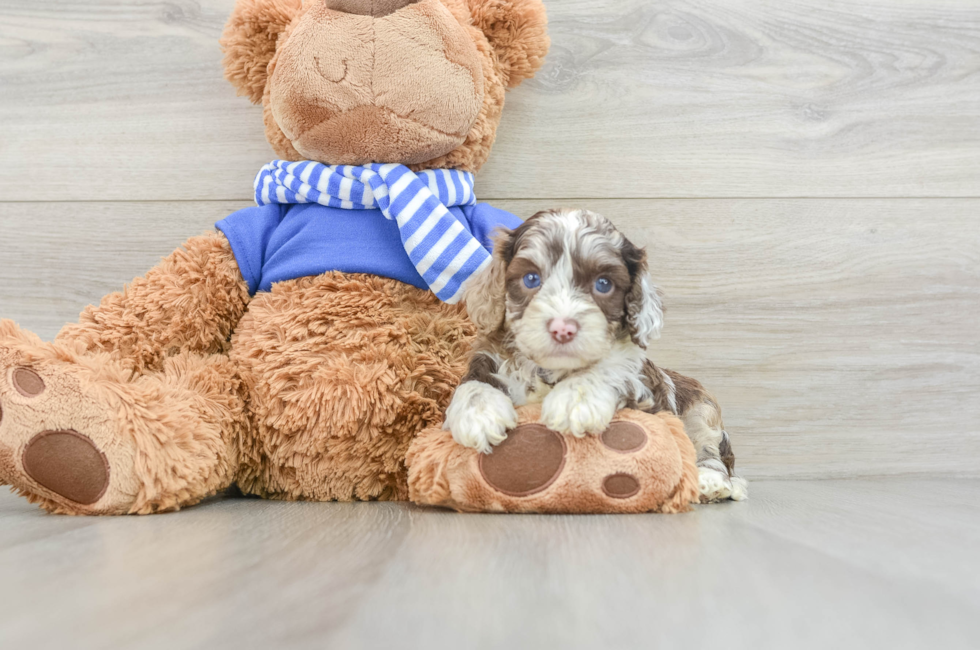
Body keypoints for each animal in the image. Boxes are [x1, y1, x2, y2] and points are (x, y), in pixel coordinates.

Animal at [446, 208, 752, 502]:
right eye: (531, 279)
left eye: (603, 284)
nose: (563, 328)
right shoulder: (488, 354)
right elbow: (474, 380)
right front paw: (478, 413)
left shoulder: (644, 388)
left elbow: (612, 368)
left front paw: (574, 400)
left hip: (702, 411)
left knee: (711, 451)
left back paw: (710, 482)